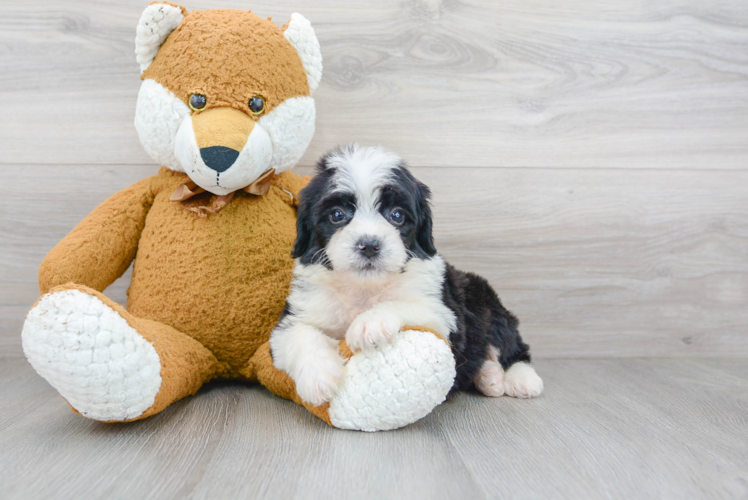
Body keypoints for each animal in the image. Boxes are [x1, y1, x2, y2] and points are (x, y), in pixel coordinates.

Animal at [268, 144, 544, 406]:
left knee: (513, 347)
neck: (363, 289)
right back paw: (489, 376)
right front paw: (319, 378)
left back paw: (521, 379)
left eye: (397, 215)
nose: (369, 245)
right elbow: (298, 334)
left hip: (487, 304)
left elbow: (403, 304)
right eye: (337, 215)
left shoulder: (446, 315)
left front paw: (370, 322)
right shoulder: (294, 317)